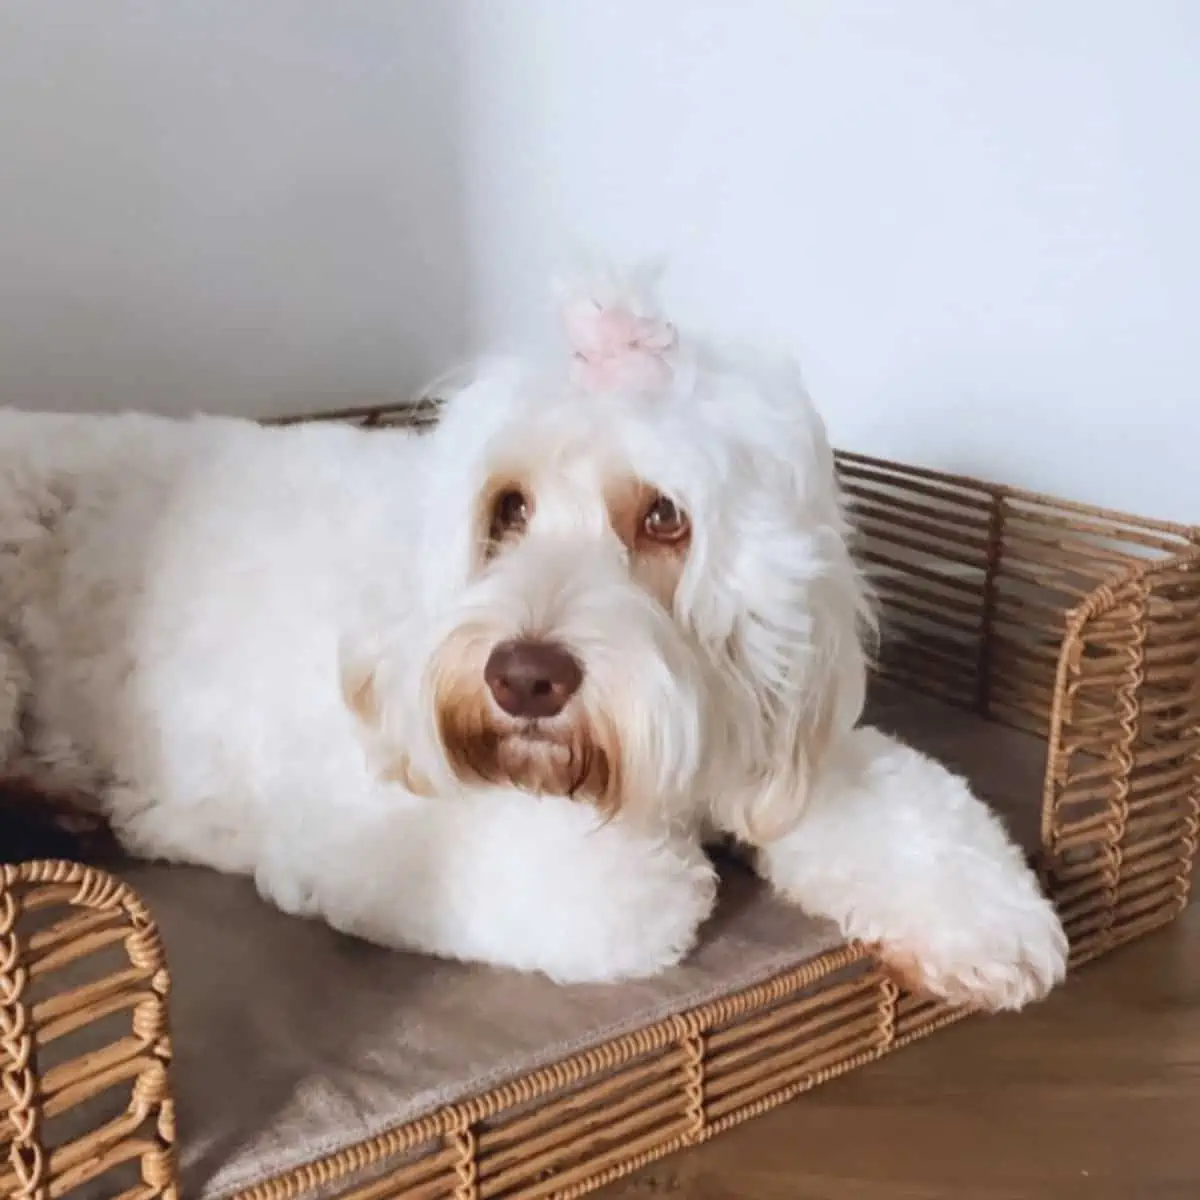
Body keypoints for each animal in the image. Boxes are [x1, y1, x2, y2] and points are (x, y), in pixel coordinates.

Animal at [0, 267, 1070, 1008]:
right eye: (506, 507)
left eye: (666, 518)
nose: (524, 678)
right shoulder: (377, 821)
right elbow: (635, 900)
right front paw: (676, 870)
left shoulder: (773, 737)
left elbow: (910, 803)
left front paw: (993, 923)